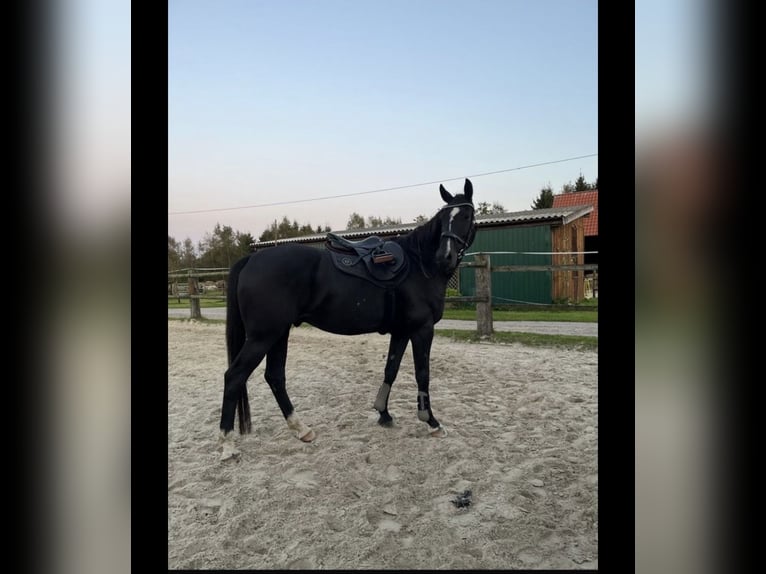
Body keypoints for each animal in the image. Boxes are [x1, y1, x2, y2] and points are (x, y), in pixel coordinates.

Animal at [218, 179, 477, 460]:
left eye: (466, 215)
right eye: (444, 219)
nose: (445, 257)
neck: (420, 266)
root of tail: (252, 258)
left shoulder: (401, 331)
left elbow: (391, 369)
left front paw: (384, 413)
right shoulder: (422, 329)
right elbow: (422, 374)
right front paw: (431, 422)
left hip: (278, 334)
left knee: (274, 377)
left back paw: (301, 429)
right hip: (263, 336)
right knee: (234, 377)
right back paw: (227, 444)